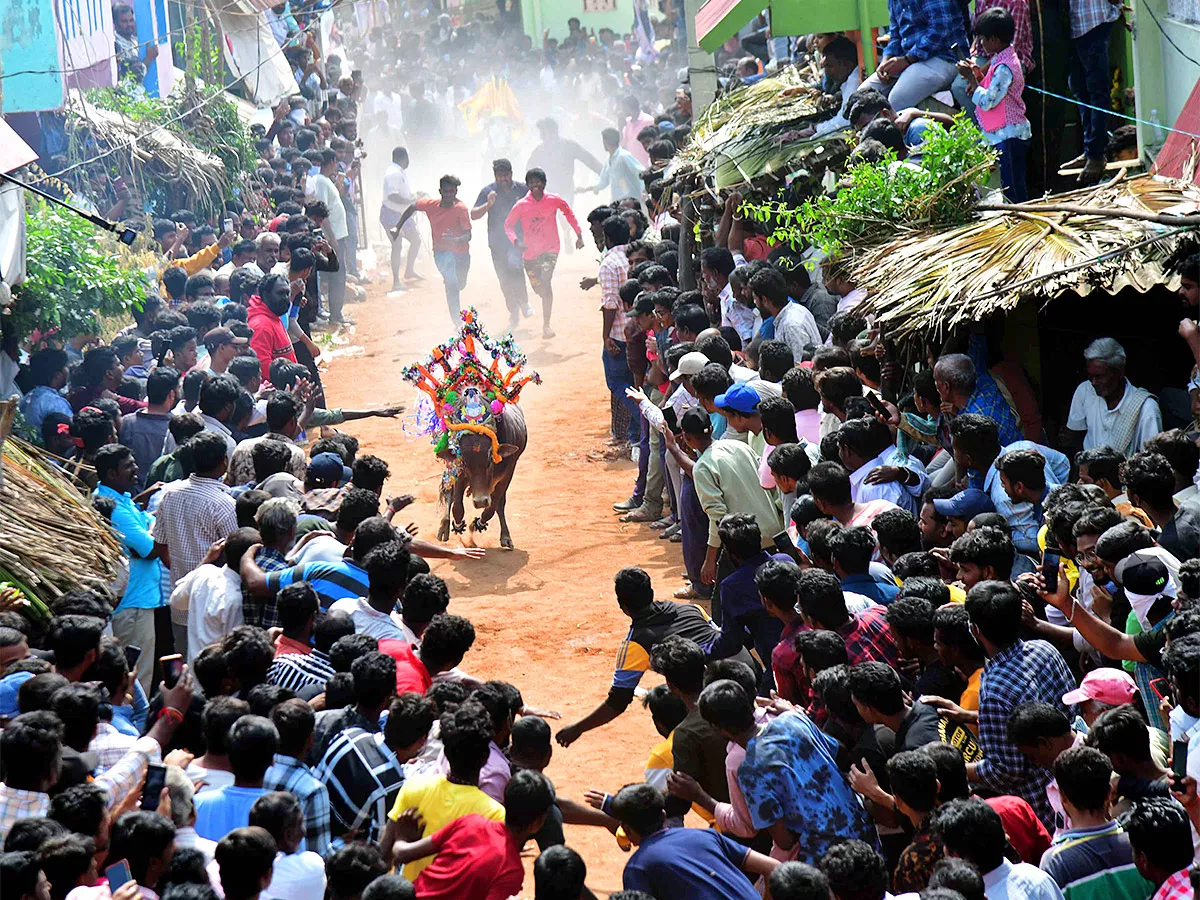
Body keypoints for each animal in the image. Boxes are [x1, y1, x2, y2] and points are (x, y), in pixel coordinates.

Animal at [434, 408, 523, 549]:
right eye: (464, 462)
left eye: (490, 459)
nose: (480, 502)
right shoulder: (459, 473)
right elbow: (457, 507)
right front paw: (459, 527)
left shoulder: (508, 473)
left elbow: (492, 508)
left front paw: (476, 525)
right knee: (449, 494)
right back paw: (444, 527)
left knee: (499, 505)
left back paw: (505, 537)